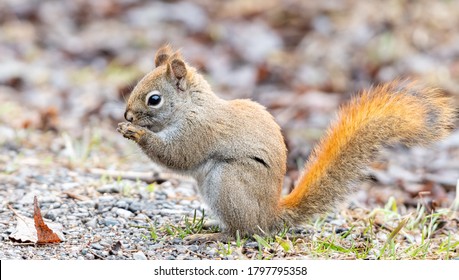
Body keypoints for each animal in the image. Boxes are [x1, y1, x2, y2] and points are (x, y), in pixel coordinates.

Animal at [117, 44, 456, 242]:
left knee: (244, 232)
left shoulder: (200, 130)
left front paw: (136, 133)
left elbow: (178, 156)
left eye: (154, 99)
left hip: (228, 181)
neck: (192, 106)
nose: (127, 114)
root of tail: (271, 215)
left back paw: (215, 237)